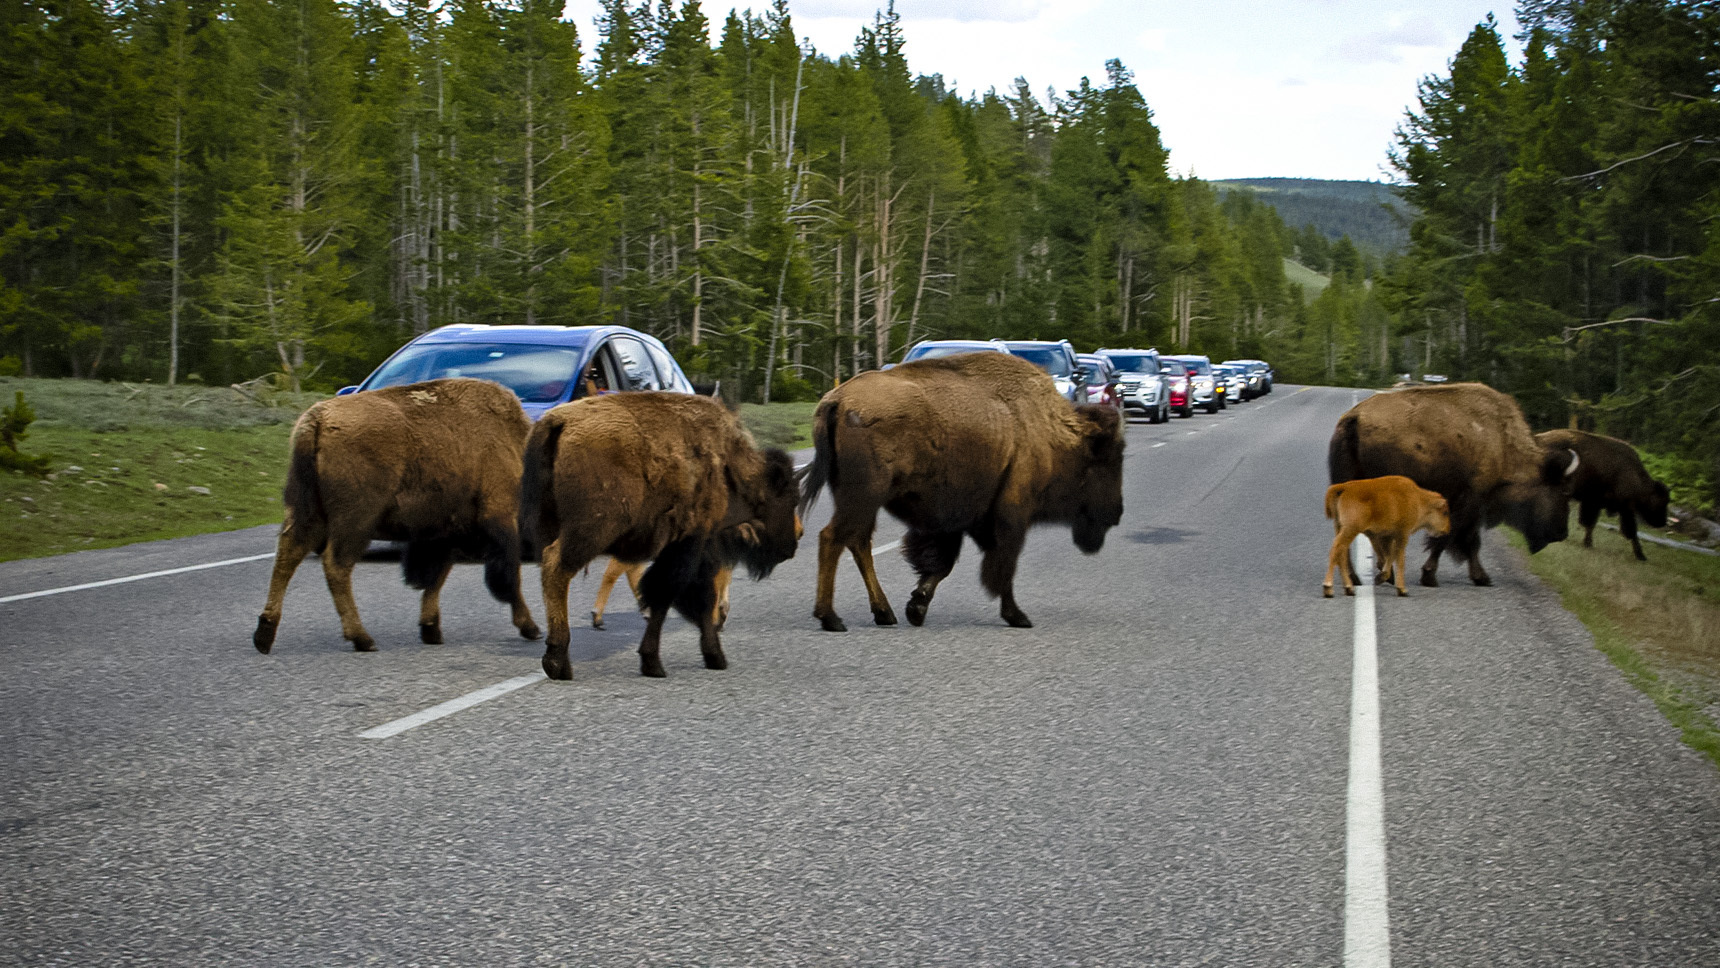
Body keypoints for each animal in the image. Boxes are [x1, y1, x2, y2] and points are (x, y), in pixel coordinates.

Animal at [251, 374, 536, 656]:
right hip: (355, 521)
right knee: (336, 565)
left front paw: (430, 630)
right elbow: (509, 576)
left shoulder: (445, 531)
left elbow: (438, 576)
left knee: (288, 556)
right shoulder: (500, 517)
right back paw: (362, 639)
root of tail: (318, 418)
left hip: (307, 512)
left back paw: (264, 635)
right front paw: (530, 627)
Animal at [519, 390, 801, 677]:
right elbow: (670, 593)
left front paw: (712, 655)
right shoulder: (689, 543)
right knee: (557, 568)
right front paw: (656, 662)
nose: (796, 538)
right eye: (790, 498)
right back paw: (558, 662)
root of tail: (558, 421)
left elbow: (692, 596)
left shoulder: (692, 548)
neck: (730, 467)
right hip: (591, 531)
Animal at [794, 352, 1121, 632]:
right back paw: (831, 618)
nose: (1116, 513)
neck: (1050, 430)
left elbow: (943, 564)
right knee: (834, 538)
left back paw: (884, 613)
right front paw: (1018, 616)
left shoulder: (960, 521)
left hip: (859, 499)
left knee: (858, 542)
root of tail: (837, 399)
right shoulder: (1009, 514)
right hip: (863, 495)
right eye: (1104, 464)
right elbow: (1002, 565)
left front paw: (916, 608)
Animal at [1320, 383, 1575, 588]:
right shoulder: (1472, 500)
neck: (1502, 441)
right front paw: (1432, 576)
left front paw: (1480, 577)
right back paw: (1380, 576)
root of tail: (1354, 418)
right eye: (1562, 489)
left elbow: (1468, 541)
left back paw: (1362, 577)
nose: (1562, 532)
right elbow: (1456, 538)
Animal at [1534, 429, 1664, 560]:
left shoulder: (1597, 504)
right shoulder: (1619, 507)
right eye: (1661, 501)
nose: (1662, 522)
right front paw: (1641, 556)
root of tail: (1537, 438)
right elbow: (1629, 531)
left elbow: (1591, 524)